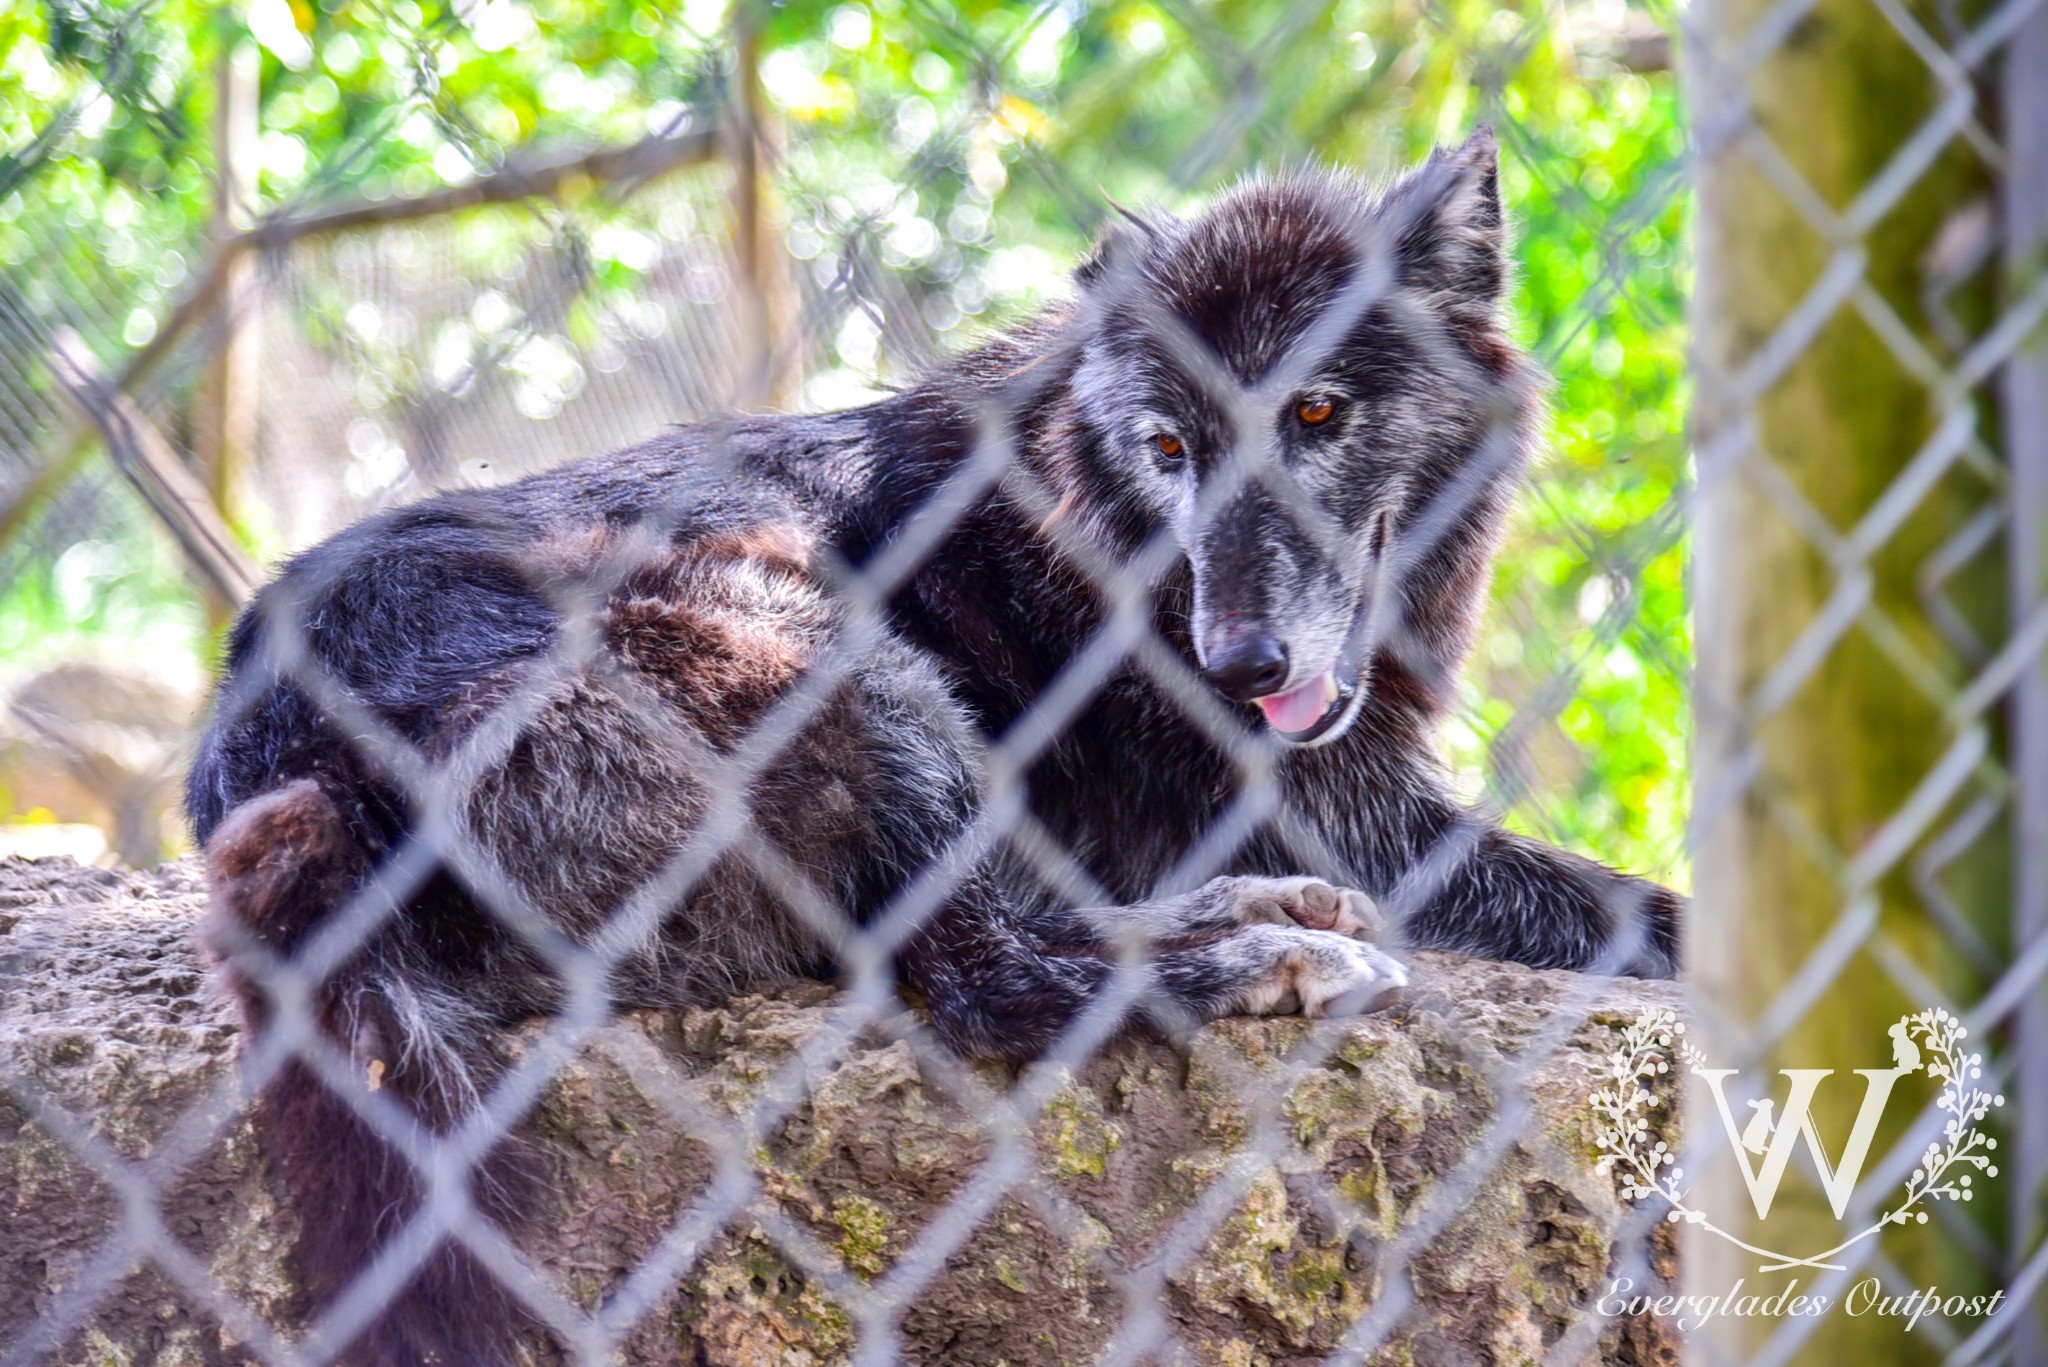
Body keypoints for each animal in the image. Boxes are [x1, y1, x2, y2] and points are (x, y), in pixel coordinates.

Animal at [184, 131, 1679, 1367]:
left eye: (1316, 412)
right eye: (1170, 445)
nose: (1238, 665)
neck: (1092, 525)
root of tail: (282, 775)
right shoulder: (1354, 816)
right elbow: (1649, 914)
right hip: (821, 640)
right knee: (983, 976)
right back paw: (1260, 954)